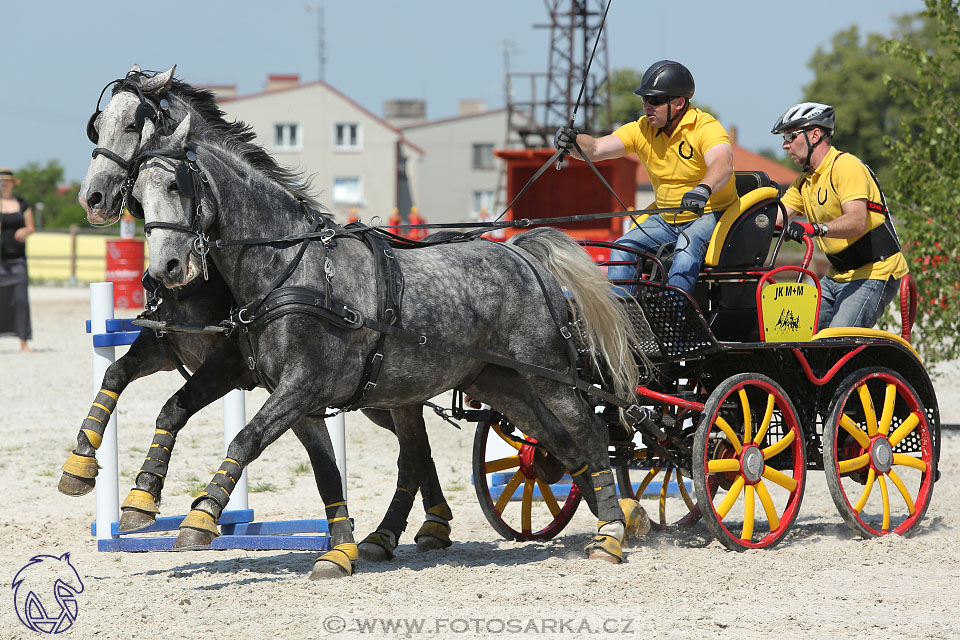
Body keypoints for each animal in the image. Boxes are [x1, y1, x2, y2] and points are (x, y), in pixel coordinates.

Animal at [64, 66, 454, 576]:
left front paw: (149, 501)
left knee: (416, 446)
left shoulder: (229, 364)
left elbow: (175, 407)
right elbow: (116, 375)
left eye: (133, 124)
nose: (92, 197)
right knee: (416, 446)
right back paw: (420, 526)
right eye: (97, 126)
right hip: (375, 398)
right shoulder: (167, 346)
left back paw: (424, 525)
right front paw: (82, 465)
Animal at [131, 111, 648, 568]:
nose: (165, 269)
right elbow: (324, 471)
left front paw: (199, 518)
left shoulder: (301, 385)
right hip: (500, 382)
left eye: (177, 185)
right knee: (555, 443)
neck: (291, 271)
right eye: (137, 194)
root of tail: (522, 254)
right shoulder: (296, 398)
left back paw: (611, 535)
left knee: (589, 432)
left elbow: (246, 439)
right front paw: (339, 553)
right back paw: (618, 518)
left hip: (550, 375)